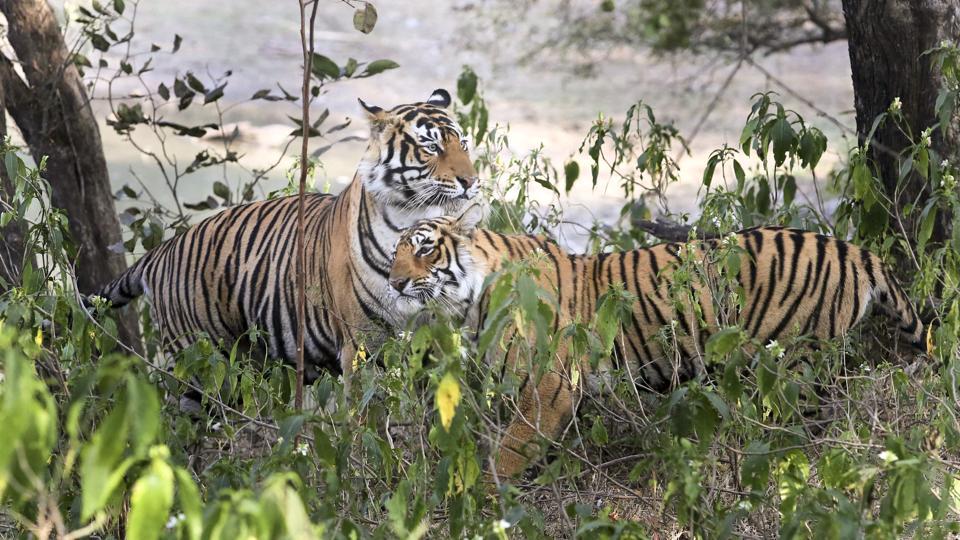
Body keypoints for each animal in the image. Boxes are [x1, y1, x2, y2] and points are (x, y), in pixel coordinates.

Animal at [95, 87, 480, 384]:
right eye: (430, 147)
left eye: (464, 144)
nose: (472, 181)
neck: (414, 218)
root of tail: (162, 251)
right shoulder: (363, 343)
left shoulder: (437, 335)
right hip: (199, 359)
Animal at [386, 210, 928, 480]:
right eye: (394, 252)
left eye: (425, 248)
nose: (392, 283)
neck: (472, 303)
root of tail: (855, 250)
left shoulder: (549, 385)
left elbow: (510, 453)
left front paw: (484, 499)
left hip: (797, 363)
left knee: (813, 429)